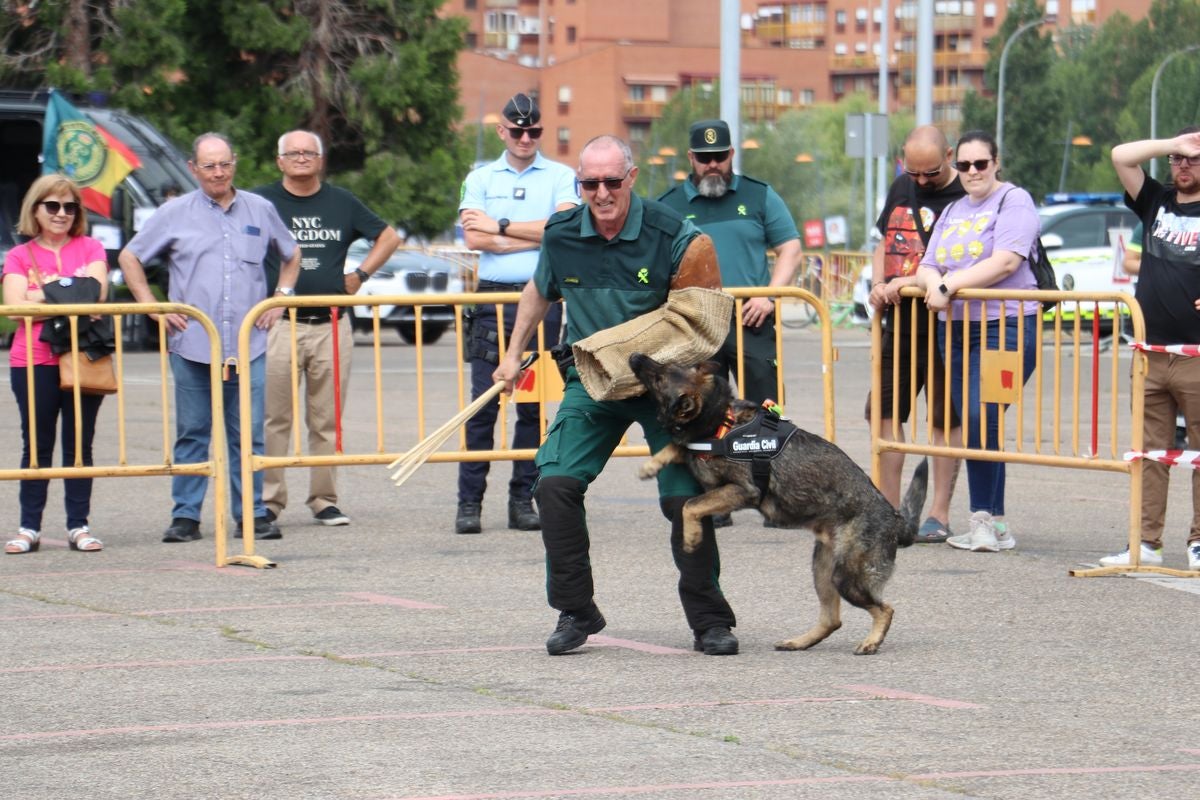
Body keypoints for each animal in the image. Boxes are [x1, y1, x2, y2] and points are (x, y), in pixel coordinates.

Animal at [628, 352, 926, 652]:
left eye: (660, 376)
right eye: (663, 365)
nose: (635, 355)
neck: (720, 421)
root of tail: (896, 519)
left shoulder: (741, 490)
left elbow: (691, 505)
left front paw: (691, 538)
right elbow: (677, 448)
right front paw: (652, 465)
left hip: (846, 577)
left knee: (885, 609)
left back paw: (871, 642)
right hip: (823, 571)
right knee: (832, 620)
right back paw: (799, 642)